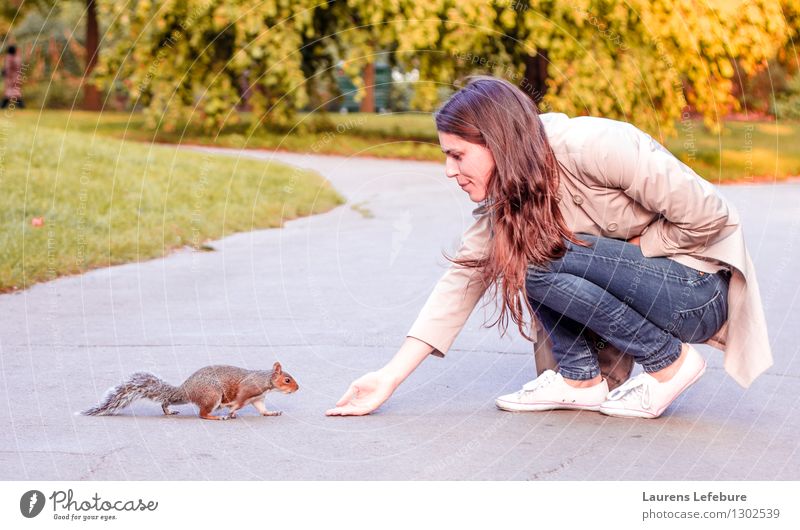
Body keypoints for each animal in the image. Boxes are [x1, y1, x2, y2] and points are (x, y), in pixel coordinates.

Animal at [79, 360, 298, 418]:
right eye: (287, 380)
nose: (297, 388)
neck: (266, 382)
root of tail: (185, 389)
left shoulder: (258, 398)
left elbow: (262, 409)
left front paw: (271, 413)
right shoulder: (248, 390)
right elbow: (237, 402)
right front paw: (232, 411)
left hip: (183, 399)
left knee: (166, 400)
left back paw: (168, 410)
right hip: (212, 395)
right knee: (202, 414)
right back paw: (216, 417)